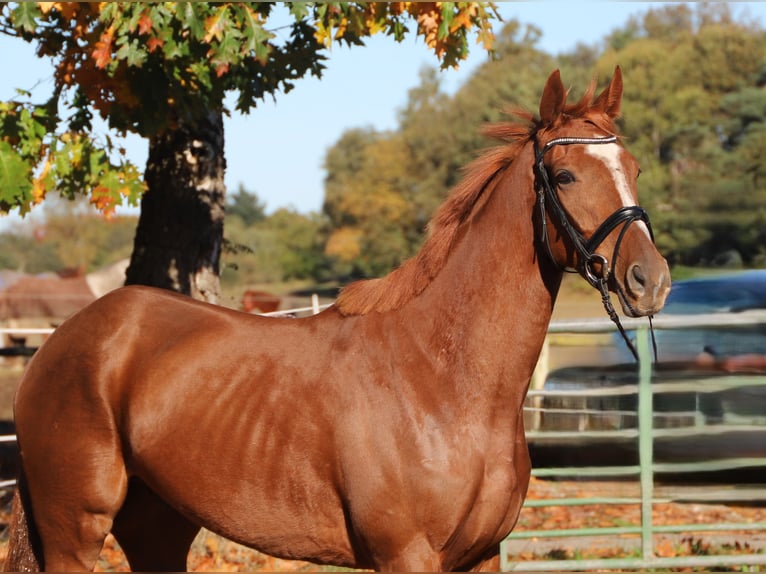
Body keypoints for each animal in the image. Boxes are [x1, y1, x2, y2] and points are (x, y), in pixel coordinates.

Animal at [4, 67, 670, 572]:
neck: (444, 381)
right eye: (564, 175)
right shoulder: (407, 557)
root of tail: (59, 343)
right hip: (75, 530)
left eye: (635, 169)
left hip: (158, 527)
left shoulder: (483, 557)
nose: (651, 279)